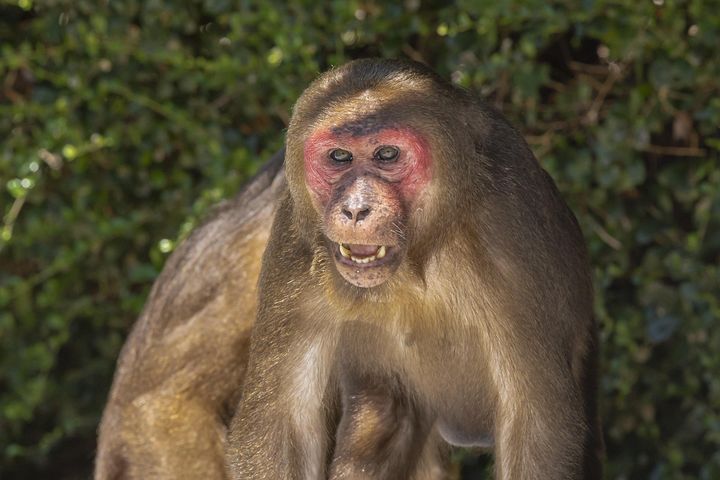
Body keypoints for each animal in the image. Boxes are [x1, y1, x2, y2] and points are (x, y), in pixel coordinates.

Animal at [96, 58, 603, 480]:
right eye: (339, 158)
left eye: (387, 155)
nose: (355, 208)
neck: (421, 252)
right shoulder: (293, 236)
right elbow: (278, 425)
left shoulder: (512, 231)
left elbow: (536, 428)